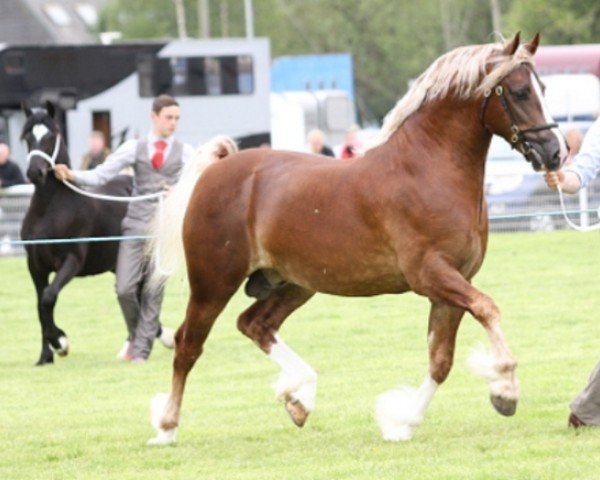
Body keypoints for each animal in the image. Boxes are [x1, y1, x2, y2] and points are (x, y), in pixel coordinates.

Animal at [21, 101, 132, 364]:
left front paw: (61, 342)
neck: (49, 210)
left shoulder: (71, 261)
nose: (35, 173)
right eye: (28, 136)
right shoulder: (35, 265)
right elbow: (40, 304)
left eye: (51, 136)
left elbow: (49, 297)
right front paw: (45, 356)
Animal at [146, 33, 568, 446]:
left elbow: (440, 361)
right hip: (213, 284)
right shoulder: (432, 275)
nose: (556, 153)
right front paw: (506, 389)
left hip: (295, 283)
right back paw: (166, 427)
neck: (428, 169)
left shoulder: (451, 286)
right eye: (519, 92)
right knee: (188, 344)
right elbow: (488, 309)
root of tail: (215, 171)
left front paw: (404, 422)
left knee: (255, 325)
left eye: (544, 88)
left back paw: (299, 398)